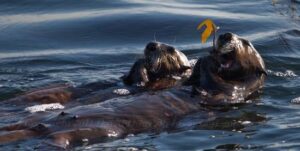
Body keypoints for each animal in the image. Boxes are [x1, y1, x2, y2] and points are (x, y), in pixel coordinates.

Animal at [0, 32, 268, 149]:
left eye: (246, 43)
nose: (226, 35)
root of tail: (41, 127)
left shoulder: (230, 92)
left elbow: (217, 82)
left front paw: (207, 60)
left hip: (98, 130)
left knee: (59, 140)